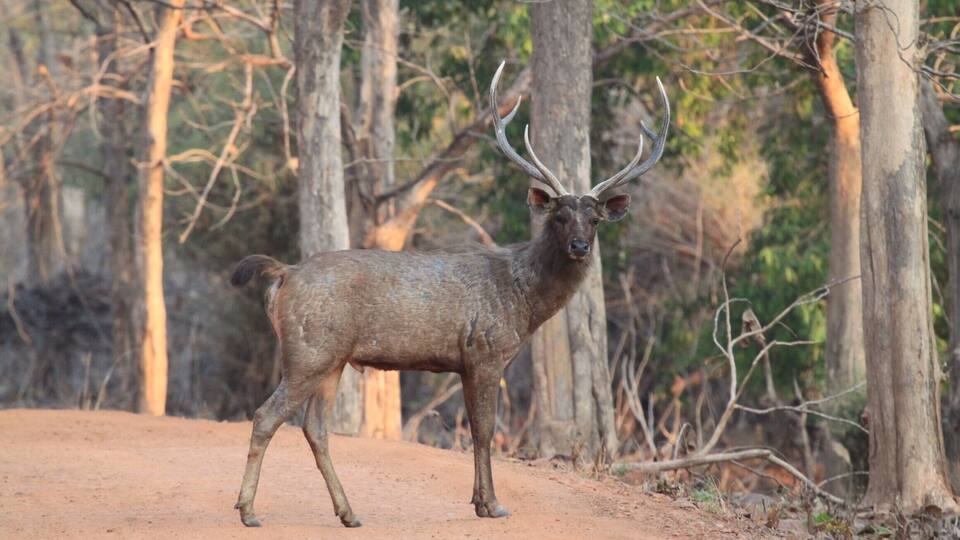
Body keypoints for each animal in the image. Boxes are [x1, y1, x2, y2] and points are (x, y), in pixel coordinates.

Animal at [231, 60, 669, 528]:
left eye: (595, 219)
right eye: (559, 215)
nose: (580, 247)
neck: (522, 301)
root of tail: (284, 274)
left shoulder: (465, 362)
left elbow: (476, 429)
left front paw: (478, 501)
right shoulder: (486, 352)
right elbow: (484, 429)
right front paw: (492, 504)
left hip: (332, 359)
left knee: (315, 428)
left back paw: (348, 513)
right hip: (308, 351)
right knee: (266, 416)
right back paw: (248, 511)